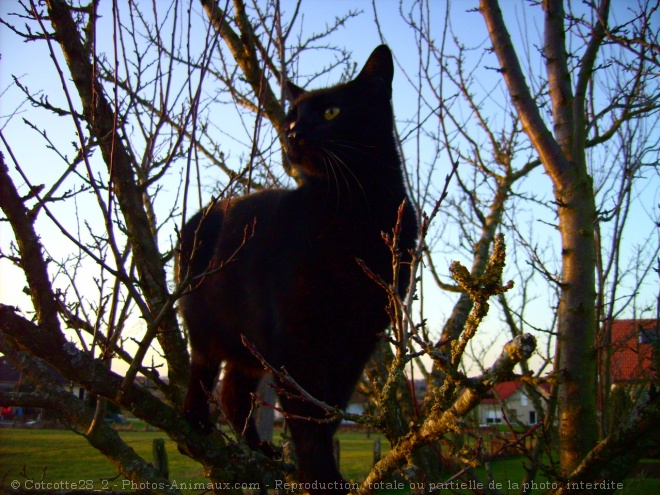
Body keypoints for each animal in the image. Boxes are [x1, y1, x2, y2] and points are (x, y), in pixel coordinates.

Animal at [178, 45, 418, 492]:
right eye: (291, 117)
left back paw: (260, 449)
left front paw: (320, 470)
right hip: (207, 323)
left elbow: (328, 410)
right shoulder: (295, 334)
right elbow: (306, 416)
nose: (293, 134)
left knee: (233, 391)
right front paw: (321, 476)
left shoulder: (358, 339)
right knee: (203, 371)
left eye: (331, 112)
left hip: (250, 345)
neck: (356, 206)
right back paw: (196, 421)